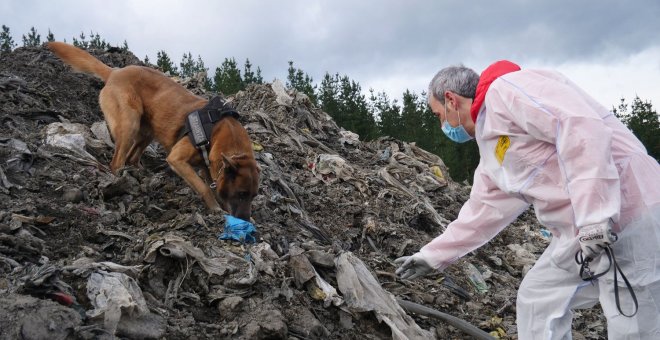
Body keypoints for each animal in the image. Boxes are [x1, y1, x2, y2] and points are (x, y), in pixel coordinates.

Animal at [47, 42, 260, 220]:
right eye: (241, 193)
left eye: (253, 196)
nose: (245, 219)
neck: (217, 131)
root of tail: (114, 72)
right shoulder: (177, 159)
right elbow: (203, 187)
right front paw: (215, 208)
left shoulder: (209, 168)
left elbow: (212, 185)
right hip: (130, 123)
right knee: (117, 162)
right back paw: (120, 181)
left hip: (148, 131)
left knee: (132, 157)